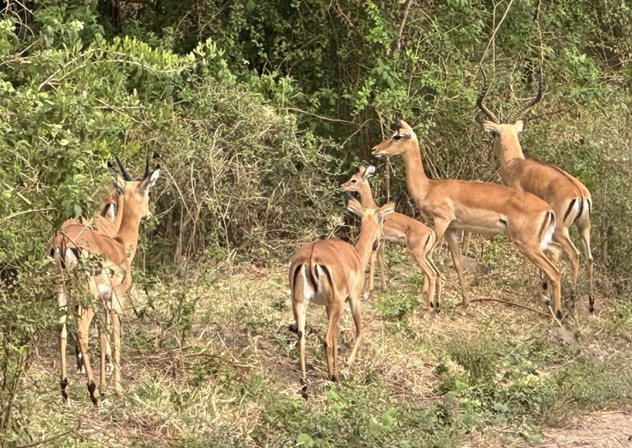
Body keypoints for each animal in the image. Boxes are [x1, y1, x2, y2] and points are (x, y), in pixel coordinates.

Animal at [52, 155, 160, 406]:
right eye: (148, 192)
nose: (148, 214)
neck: (120, 244)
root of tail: (64, 241)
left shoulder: (103, 300)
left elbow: (102, 336)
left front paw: (105, 385)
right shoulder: (116, 299)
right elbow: (115, 336)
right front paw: (117, 389)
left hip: (62, 289)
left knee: (61, 328)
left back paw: (65, 391)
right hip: (85, 295)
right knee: (81, 329)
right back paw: (92, 393)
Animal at [290, 196, 396, 382]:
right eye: (383, 220)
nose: (379, 241)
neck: (357, 256)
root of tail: (310, 258)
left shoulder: (327, 305)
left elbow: (336, 336)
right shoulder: (353, 299)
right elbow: (359, 331)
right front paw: (347, 365)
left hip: (300, 302)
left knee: (302, 336)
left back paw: (304, 379)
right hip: (337, 304)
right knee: (326, 339)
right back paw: (332, 376)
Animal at [340, 164, 440, 308]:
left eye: (353, 180)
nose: (342, 185)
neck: (372, 208)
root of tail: (430, 231)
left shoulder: (377, 242)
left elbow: (373, 260)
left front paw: (368, 291)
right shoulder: (382, 242)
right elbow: (381, 260)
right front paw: (384, 287)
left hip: (417, 254)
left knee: (431, 273)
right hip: (425, 254)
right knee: (434, 272)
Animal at [370, 119, 564, 318]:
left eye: (397, 136)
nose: (375, 149)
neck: (429, 187)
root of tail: (548, 209)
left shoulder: (441, 222)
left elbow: (428, 254)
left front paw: (428, 300)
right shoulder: (452, 229)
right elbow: (457, 263)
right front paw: (464, 303)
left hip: (528, 244)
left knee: (554, 272)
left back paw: (556, 314)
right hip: (539, 242)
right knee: (557, 254)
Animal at [476, 72, 596, 314]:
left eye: (493, 135)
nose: (491, 155)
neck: (516, 165)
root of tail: (579, 193)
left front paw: (525, 279)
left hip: (561, 229)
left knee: (574, 255)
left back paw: (570, 301)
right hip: (584, 226)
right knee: (589, 257)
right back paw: (589, 304)